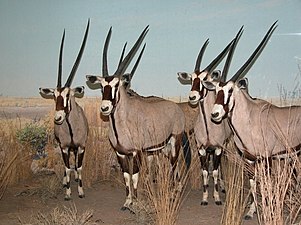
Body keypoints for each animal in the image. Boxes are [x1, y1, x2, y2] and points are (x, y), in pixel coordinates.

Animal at [38, 20, 89, 200]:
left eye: (68, 95)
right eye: (54, 95)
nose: (58, 118)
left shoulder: (81, 146)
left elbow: (79, 167)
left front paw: (80, 191)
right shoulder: (65, 147)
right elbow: (67, 167)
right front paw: (67, 193)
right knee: (68, 168)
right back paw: (66, 181)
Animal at [86, 26, 190, 211]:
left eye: (116, 85)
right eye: (101, 86)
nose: (105, 108)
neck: (121, 123)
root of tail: (176, 107)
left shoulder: (136, 152)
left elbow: (134, 176)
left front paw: (135, 202)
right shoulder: (121, 153)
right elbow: (126, 176)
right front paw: (127, 201)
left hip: (175, 141)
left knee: (173, 163)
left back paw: (173, 192)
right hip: (163, 147)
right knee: (175, 164)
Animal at [177, 27, 243, 205]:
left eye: (205, 79)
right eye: (192, 78)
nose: (192, 96)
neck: (208, 125)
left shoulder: (218, 148)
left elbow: (214, 171)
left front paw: (217, 198)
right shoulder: (201, 148)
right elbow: (205, 171)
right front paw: (205, 198)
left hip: (224, 146)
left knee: (219, 167)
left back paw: (222, 186)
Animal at [203, 21, 278, 220]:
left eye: (230, 90)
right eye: (216, 90)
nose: (215, 114)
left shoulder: (264, 158)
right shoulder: (249, 158)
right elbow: (253, 182)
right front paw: (252, 211)